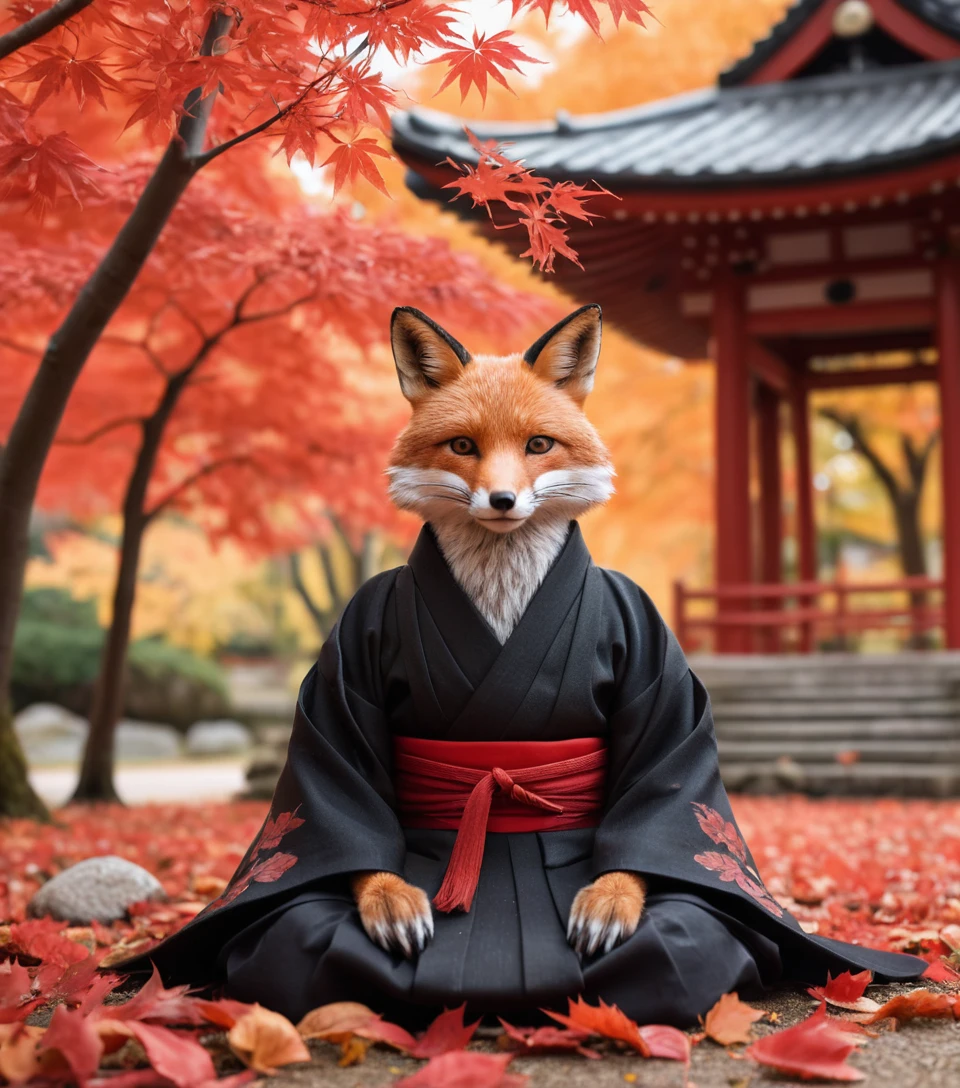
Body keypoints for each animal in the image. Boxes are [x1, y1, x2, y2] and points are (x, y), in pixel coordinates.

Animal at [351, 302, 646, 961]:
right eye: (463, 445)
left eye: (538, 445)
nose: (503, 499)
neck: (502, 599)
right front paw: (388, 896)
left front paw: (611, 896)